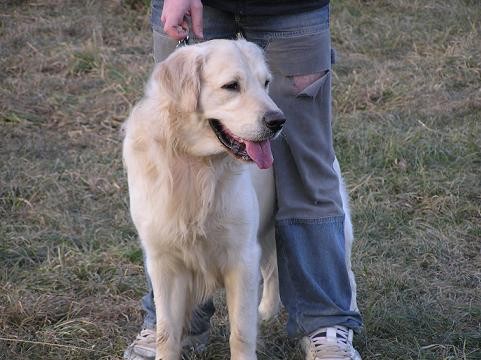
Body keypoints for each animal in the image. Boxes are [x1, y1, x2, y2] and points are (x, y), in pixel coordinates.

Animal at [122, 38, 284, 358]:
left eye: (265, 83)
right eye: (231, 86)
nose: (278, 120)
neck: (195, 166)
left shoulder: (242, 258)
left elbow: (241, 333)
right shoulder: (164, 263)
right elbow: (167, 333)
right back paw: (268, 313)